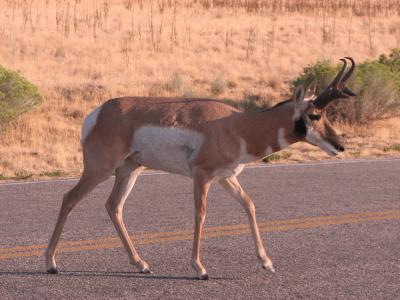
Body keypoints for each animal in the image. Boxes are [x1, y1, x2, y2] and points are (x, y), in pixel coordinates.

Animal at [45, 58, 354, 278]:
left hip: (130, 170)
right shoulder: (202, 177)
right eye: (315, 114)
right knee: (69, 198)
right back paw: (51, 263)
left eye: (325, 114)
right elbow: (201, 214)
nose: (340, 146)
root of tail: (99, 113)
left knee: (113, 206)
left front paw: (266, 262)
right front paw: (200, 268)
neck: (237, 125)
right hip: (100, 168)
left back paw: (141, 263)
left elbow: (249, 205)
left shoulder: (226, 178)